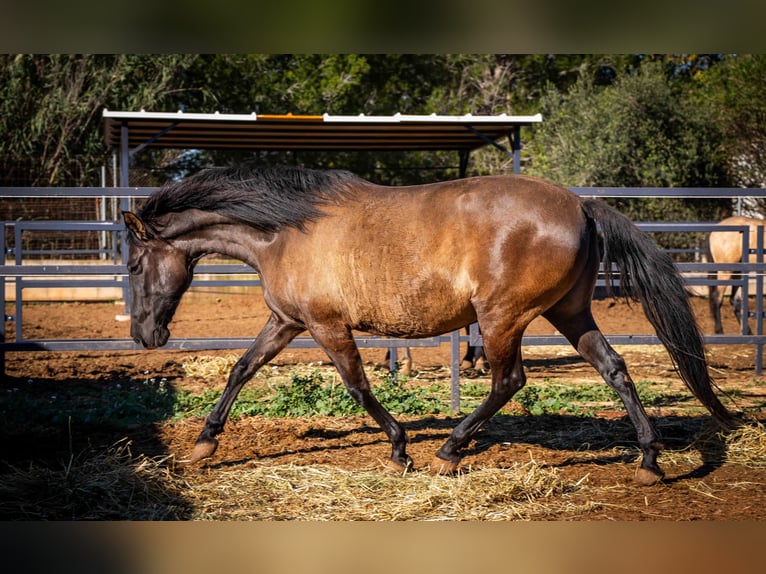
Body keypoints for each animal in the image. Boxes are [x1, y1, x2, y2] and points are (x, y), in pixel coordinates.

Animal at [123, 164, 740, 488]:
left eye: (131, 265)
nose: (145, 336)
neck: (284, 232)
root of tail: (582, 207)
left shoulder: (326, 326)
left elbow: (357, 386)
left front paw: (401, 450)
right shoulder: (286, 322)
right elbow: (242, 370)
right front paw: (203, 444)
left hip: (502, 318)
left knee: (509, 381)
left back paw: (449, 449)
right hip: (570, 312)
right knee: (614, 368)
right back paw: (649, 461)